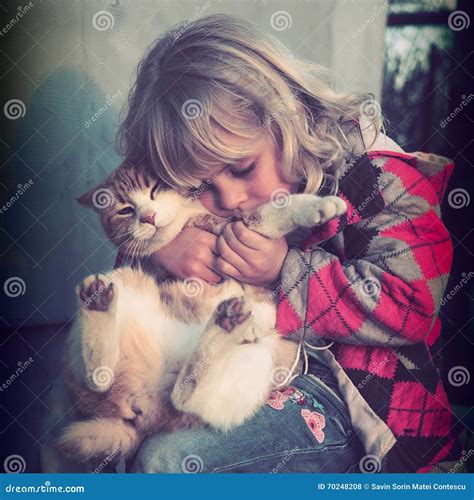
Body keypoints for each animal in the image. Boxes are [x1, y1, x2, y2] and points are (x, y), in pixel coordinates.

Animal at [53, 162, 346, 466]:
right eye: (125, 210)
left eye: (154, 189)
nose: (148, 217)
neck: (189, 222)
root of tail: (142, 404)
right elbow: (267, 213)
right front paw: (321, 206)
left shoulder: (235, 234)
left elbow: (266, 214)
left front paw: (319, 206)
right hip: (126, 279)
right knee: (105, 380)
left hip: (256, 364)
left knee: (184, 394)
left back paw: (224, 326)